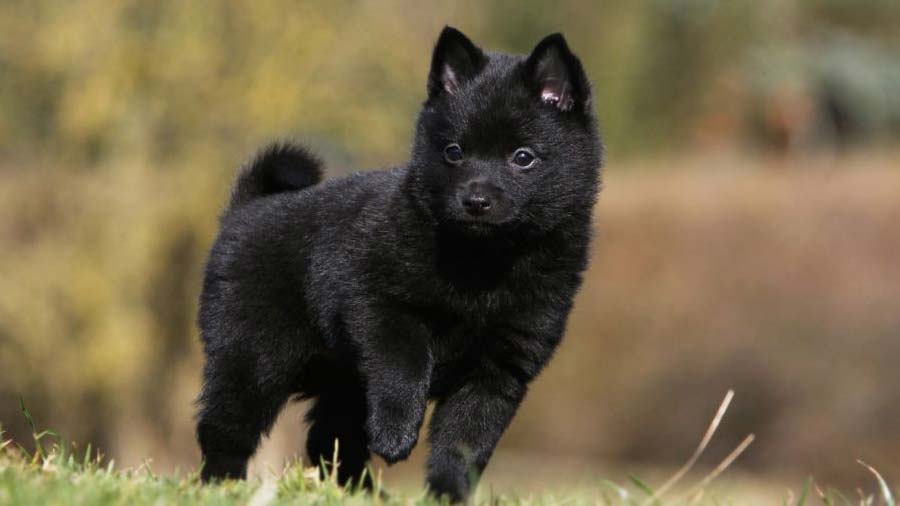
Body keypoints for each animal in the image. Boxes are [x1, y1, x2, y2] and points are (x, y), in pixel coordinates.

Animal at [197, 26, 604, 502]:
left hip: (339, 380)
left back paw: (362, 492)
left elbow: (465, 445)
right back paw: (219, 483)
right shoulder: (381, 308)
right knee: (226, 427)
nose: (475, 201)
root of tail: (246, 209)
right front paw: (396, 434)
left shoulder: (497, 369)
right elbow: (404, 369)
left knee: (329, 438)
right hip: (253, 357)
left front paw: (446, 494)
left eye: (523, 157)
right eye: (453, 152)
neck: (482, 263)